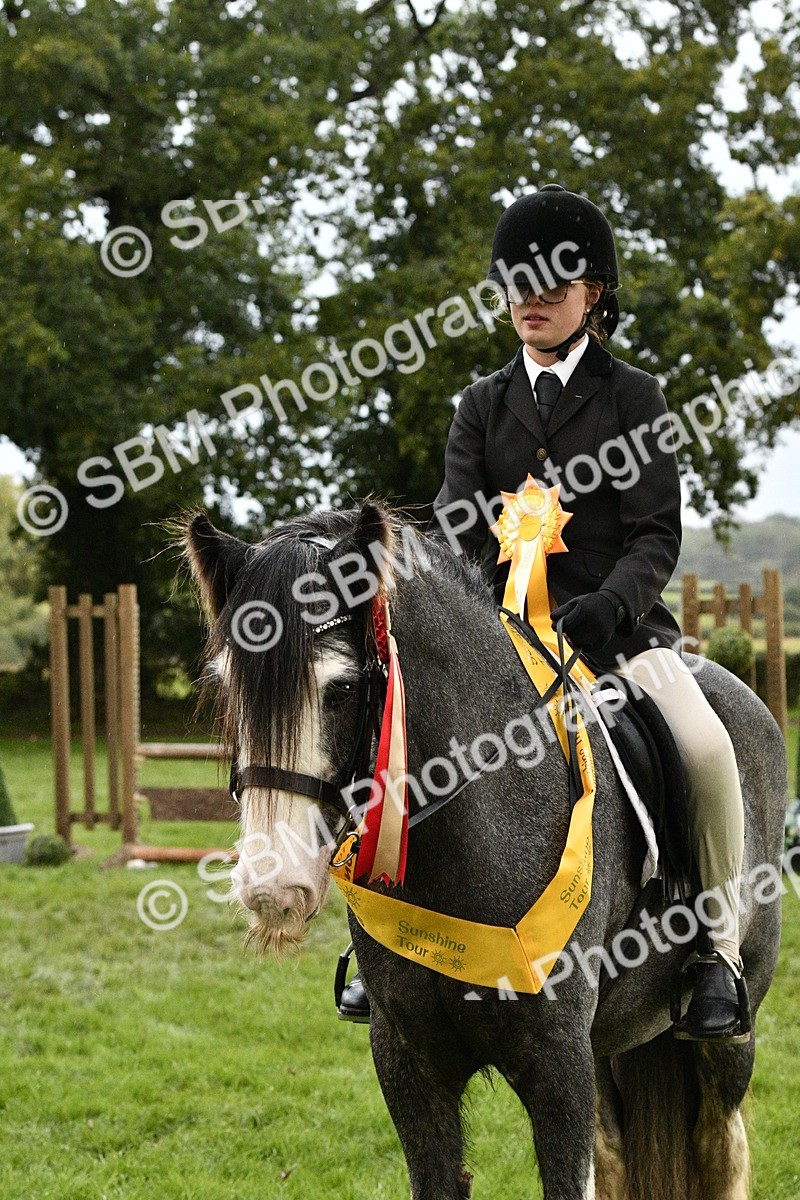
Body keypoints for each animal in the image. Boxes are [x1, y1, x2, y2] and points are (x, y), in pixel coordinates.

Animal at [183, 500, 786, 1200]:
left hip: (727, 1037)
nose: (272, 890)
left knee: (721, 1146)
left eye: (341, 689)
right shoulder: (409, 1065)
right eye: (226, 686)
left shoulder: (559, 1066)